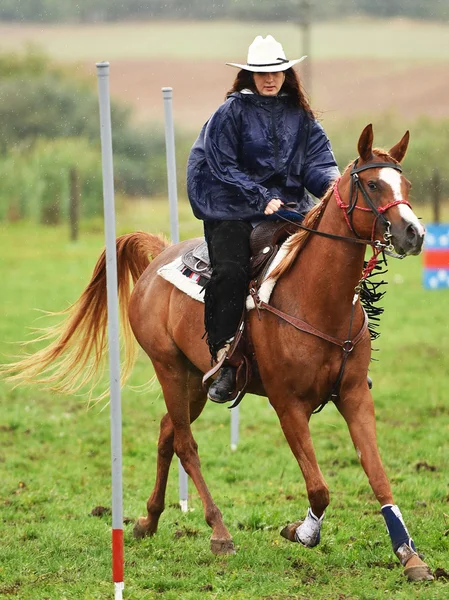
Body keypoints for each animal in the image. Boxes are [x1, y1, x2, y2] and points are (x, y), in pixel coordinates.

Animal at [3, 126, 430, 580]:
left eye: (406, 185)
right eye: (372, 184)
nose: (414, 233)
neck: (317, 299)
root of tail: (160, 254)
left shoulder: (354, 396)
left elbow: (378, 476)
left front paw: (410, 556)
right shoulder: (288, 404)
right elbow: (319, 488)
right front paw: (301, 532)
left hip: (195, 381)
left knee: (166, 432)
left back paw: (149, 520)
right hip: (169, 369)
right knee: (185, 444)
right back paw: (218, 532)